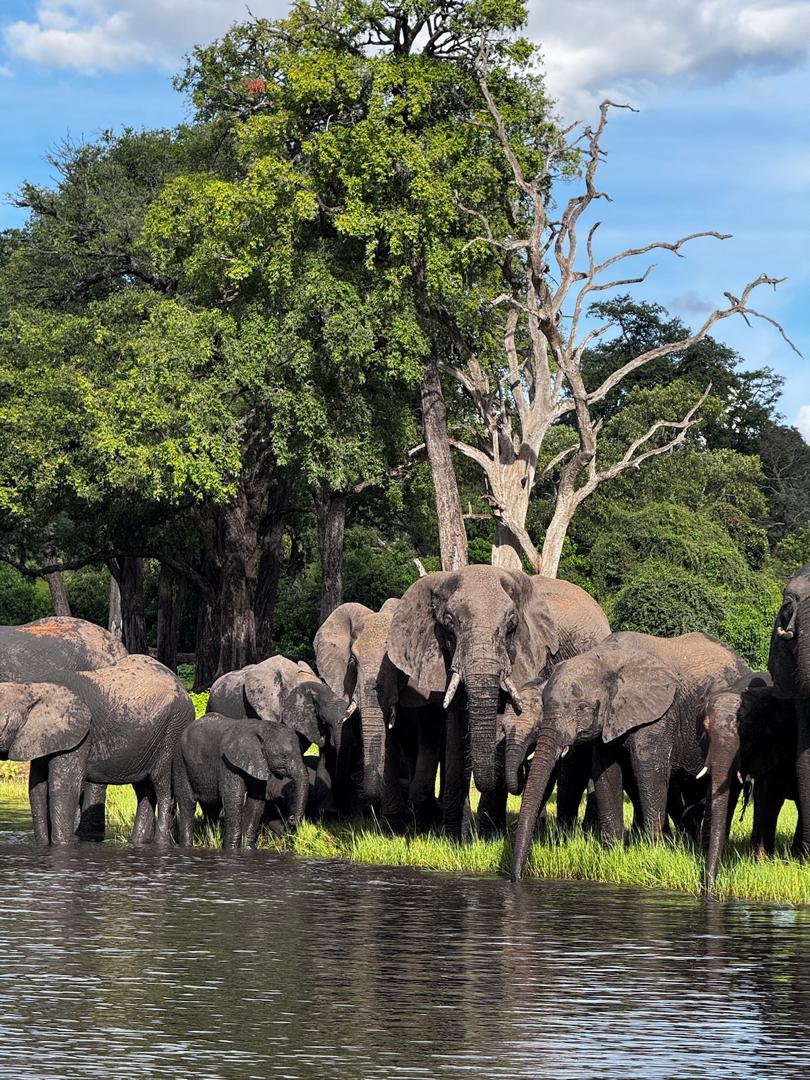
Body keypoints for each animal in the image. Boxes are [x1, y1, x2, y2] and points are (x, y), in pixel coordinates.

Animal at [0, 655, 194, 846]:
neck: (34, 689)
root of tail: (182, 687)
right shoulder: (43, 737)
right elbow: (37, 789)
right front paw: (42, 845)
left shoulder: (80, 735)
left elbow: (64, 788)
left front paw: (64, 844)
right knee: (144, 790)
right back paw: (136, 843)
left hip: (173, 730)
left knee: (162, 785)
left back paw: (162, 844)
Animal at [173, 713, 309, 848]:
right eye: (284, 756)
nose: (291, 818)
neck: (260, 728)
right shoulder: (227, 762)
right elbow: (234, 798)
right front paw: (231, 849)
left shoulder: (258, 763)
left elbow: (256, 801)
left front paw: (247, 848)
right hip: (180, 761)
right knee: (187, 803)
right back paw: (186, 846)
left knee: (212, 807)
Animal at [511, 630, 750, 880]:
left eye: (582, 708)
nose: (517, 876)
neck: (607, 659)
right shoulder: (611, 718)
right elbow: (605, 773)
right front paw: (612, 855)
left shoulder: (658, 714)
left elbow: (649, 770)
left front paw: (655, 853)